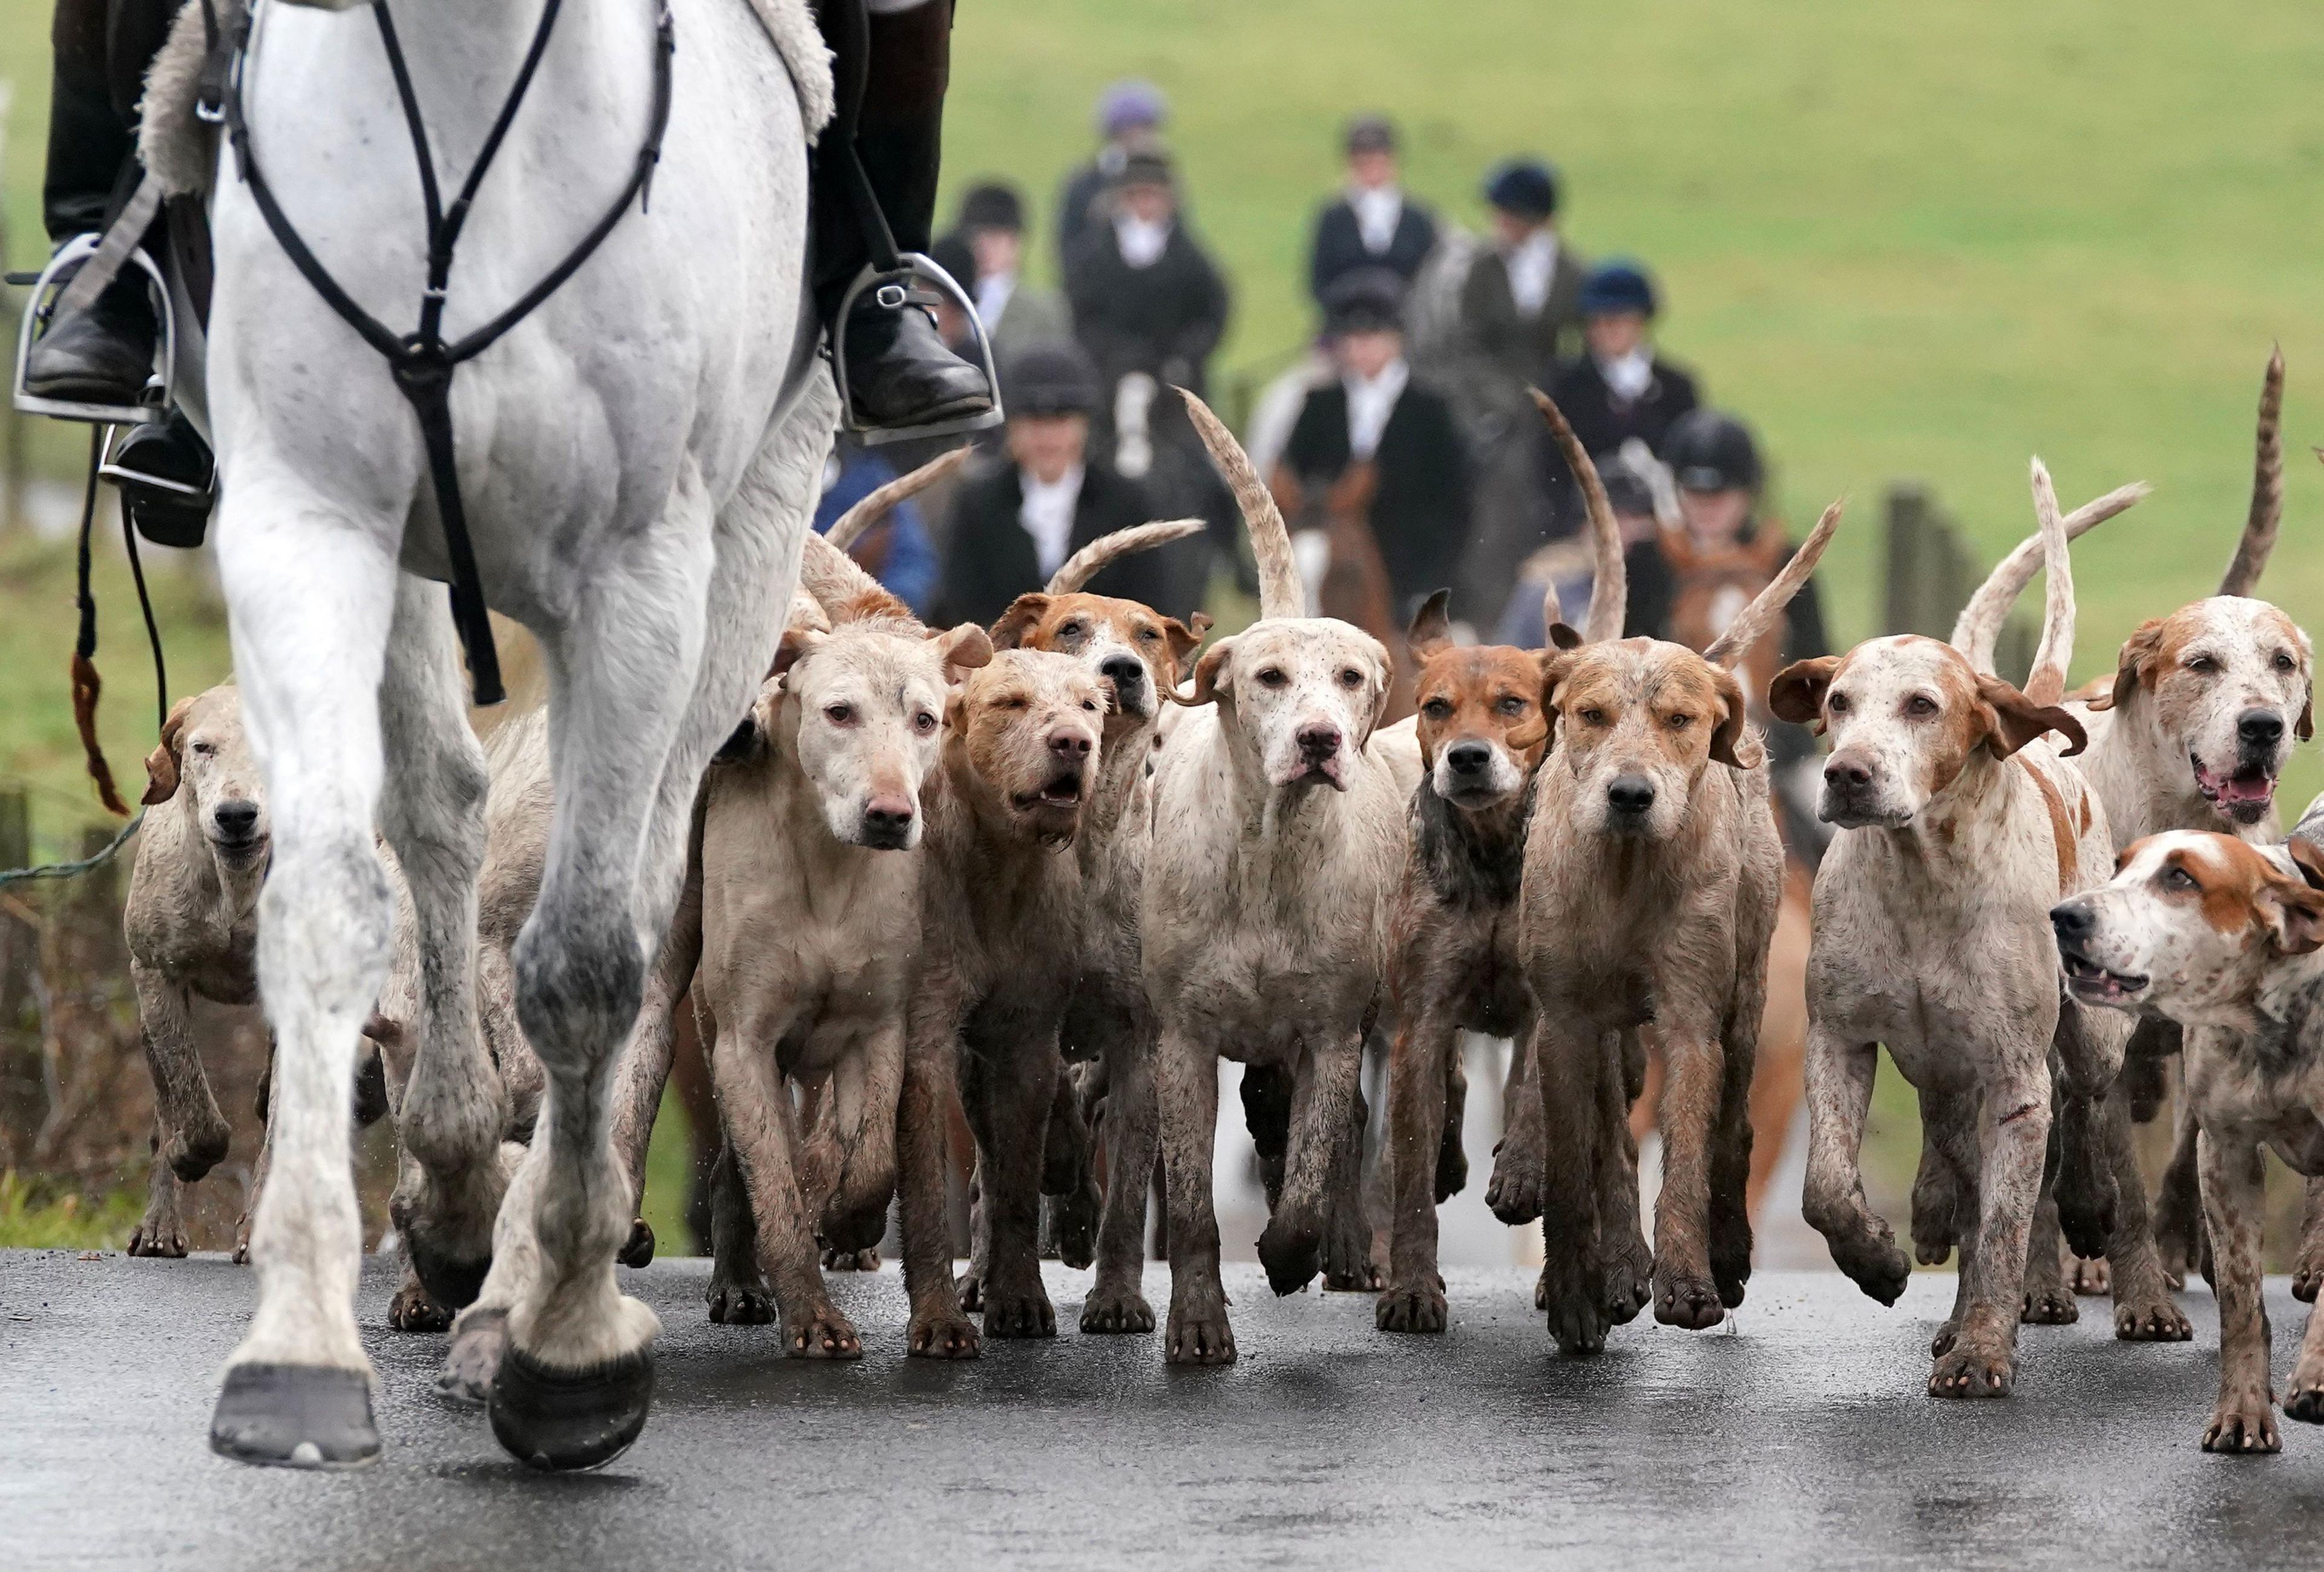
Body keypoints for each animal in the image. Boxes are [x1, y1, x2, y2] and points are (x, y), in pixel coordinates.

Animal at [181, 0, 836, 1467]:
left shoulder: (639, 581)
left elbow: (588, 960)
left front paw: (567, 1341)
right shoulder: (311, 522)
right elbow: (330, 905)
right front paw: (303, 1342)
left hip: (743, 556)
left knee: (640, 882)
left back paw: (526, 1267)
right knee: (442, 814)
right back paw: (459, 1193)